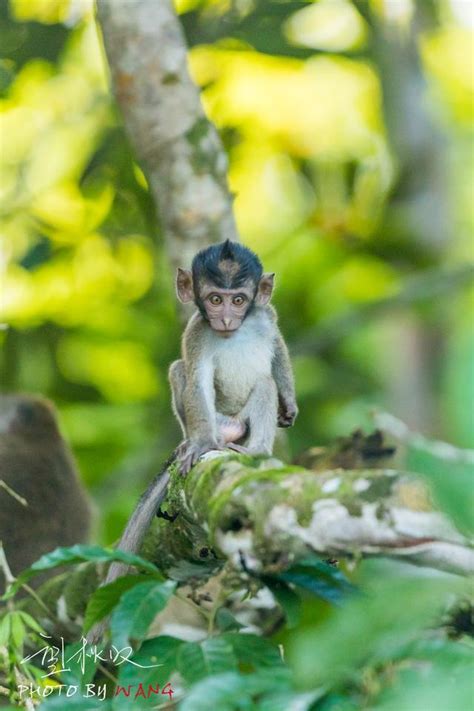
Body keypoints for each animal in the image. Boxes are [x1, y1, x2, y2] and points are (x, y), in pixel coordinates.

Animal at [170, 242, 296, 476]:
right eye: (216, 299)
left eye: (238, 300)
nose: (226, 320)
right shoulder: (196, 333)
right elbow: (199, 383)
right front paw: (202, 442)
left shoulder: (265, 313)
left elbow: (277, 345)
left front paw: (289, 403)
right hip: (220, 419)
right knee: (178, 369)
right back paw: (196, 440)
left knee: (265, 383)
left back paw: (257, 451)